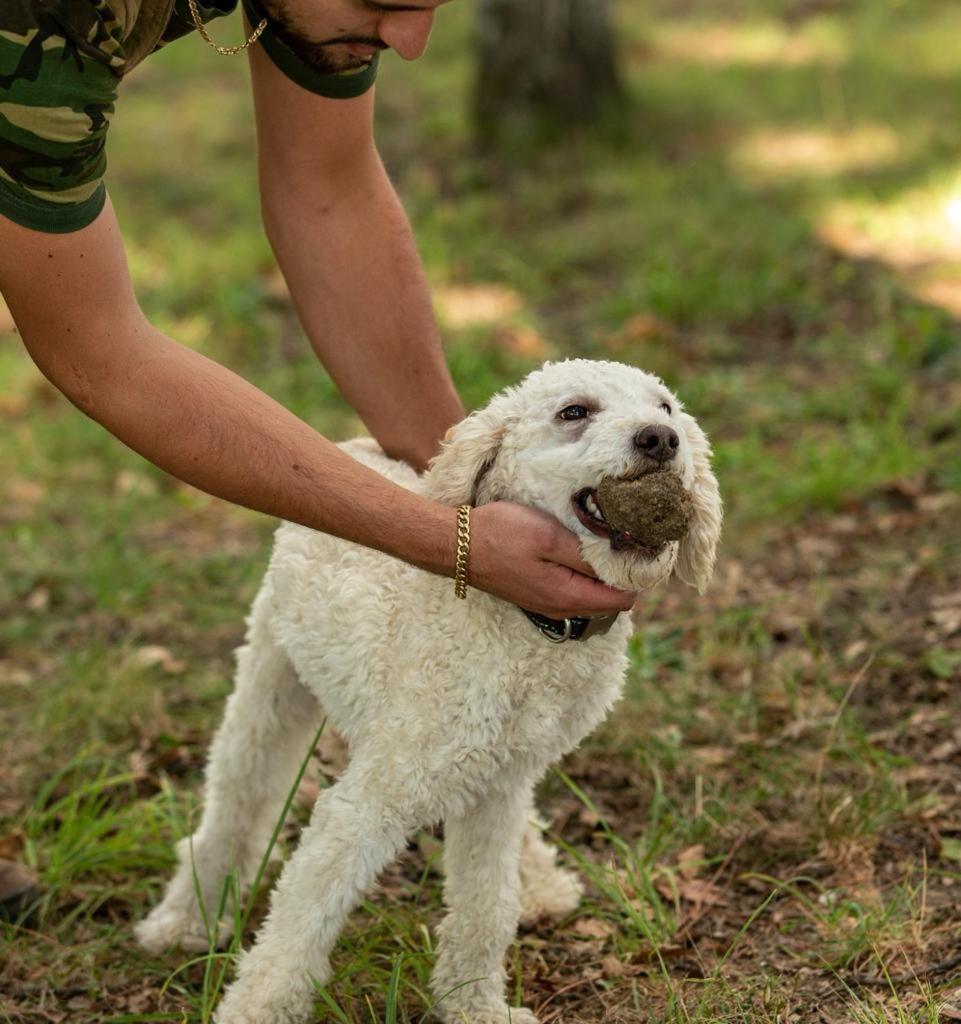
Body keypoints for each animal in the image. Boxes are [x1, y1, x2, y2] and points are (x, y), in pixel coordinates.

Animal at [135, 360, 721, 1024]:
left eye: (667, 408)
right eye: (574, 412)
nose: (660, 440)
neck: (525, 630)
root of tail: (357, 447)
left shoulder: (498, 788)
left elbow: (485, 909)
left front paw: (475, 1008)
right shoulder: (369, 803)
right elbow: (299, 926)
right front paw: (255, 1009)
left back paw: (543, 887)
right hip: (270, 685)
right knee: (234, 808)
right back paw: (182, 921)